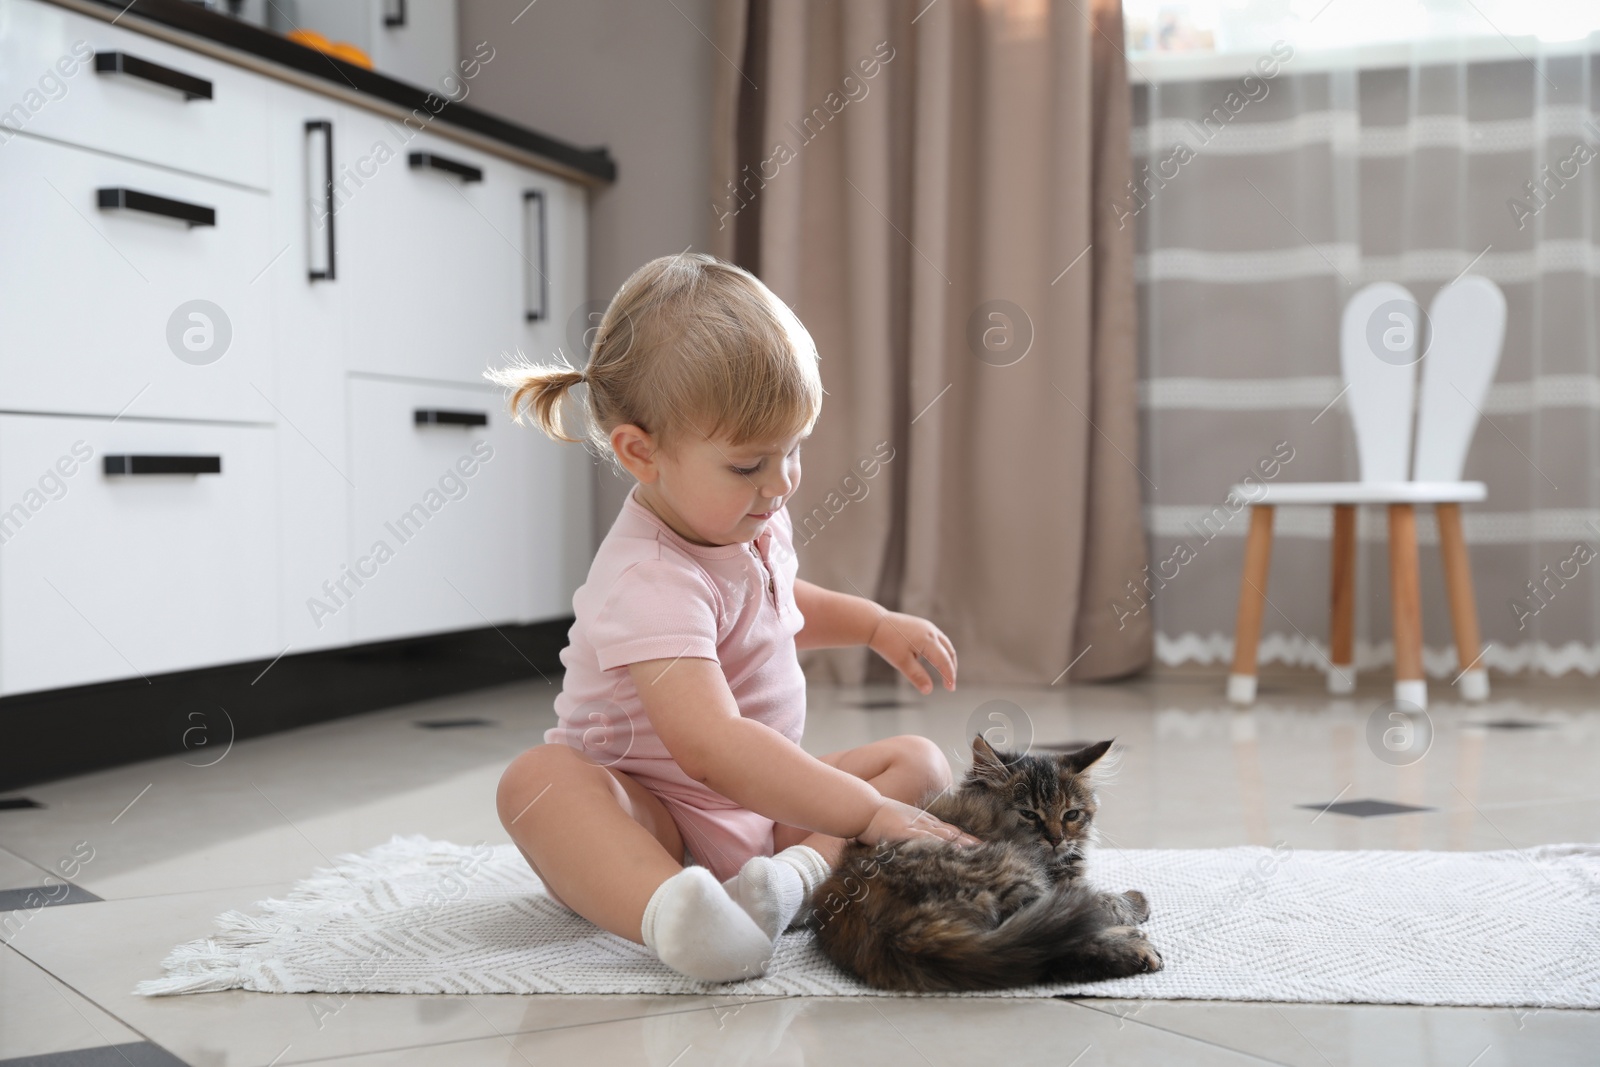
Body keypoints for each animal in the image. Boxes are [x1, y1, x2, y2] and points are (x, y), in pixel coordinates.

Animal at [806, 735, 1158, 991]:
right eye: (1029, 814)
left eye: (1071, 814)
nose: (1056, 839)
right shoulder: (1066, 888)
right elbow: (1105, 900)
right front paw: (1136, 901)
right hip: (1020, 881)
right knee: (1052, 949)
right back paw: (1136, 949)